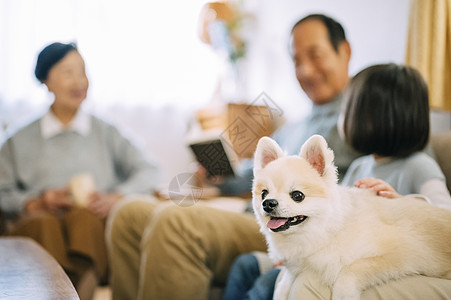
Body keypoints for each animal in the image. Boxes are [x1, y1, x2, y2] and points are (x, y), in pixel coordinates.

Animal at [252, 135, 451, 300]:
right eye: (264, 193)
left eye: (297, 196)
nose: (268, 203)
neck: (327, 231)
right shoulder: (296, 266)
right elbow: (284, 283)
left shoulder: (405, 253)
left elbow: (350, 271)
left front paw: (343, 294)